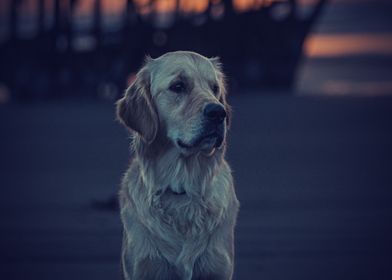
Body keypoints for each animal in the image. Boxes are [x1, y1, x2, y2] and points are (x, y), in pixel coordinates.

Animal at [116, 50, 239, 280]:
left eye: (214, 88)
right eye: (178, 86)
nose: (219, 113)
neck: (182, 188)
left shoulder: (218, 269)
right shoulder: (144, 268)